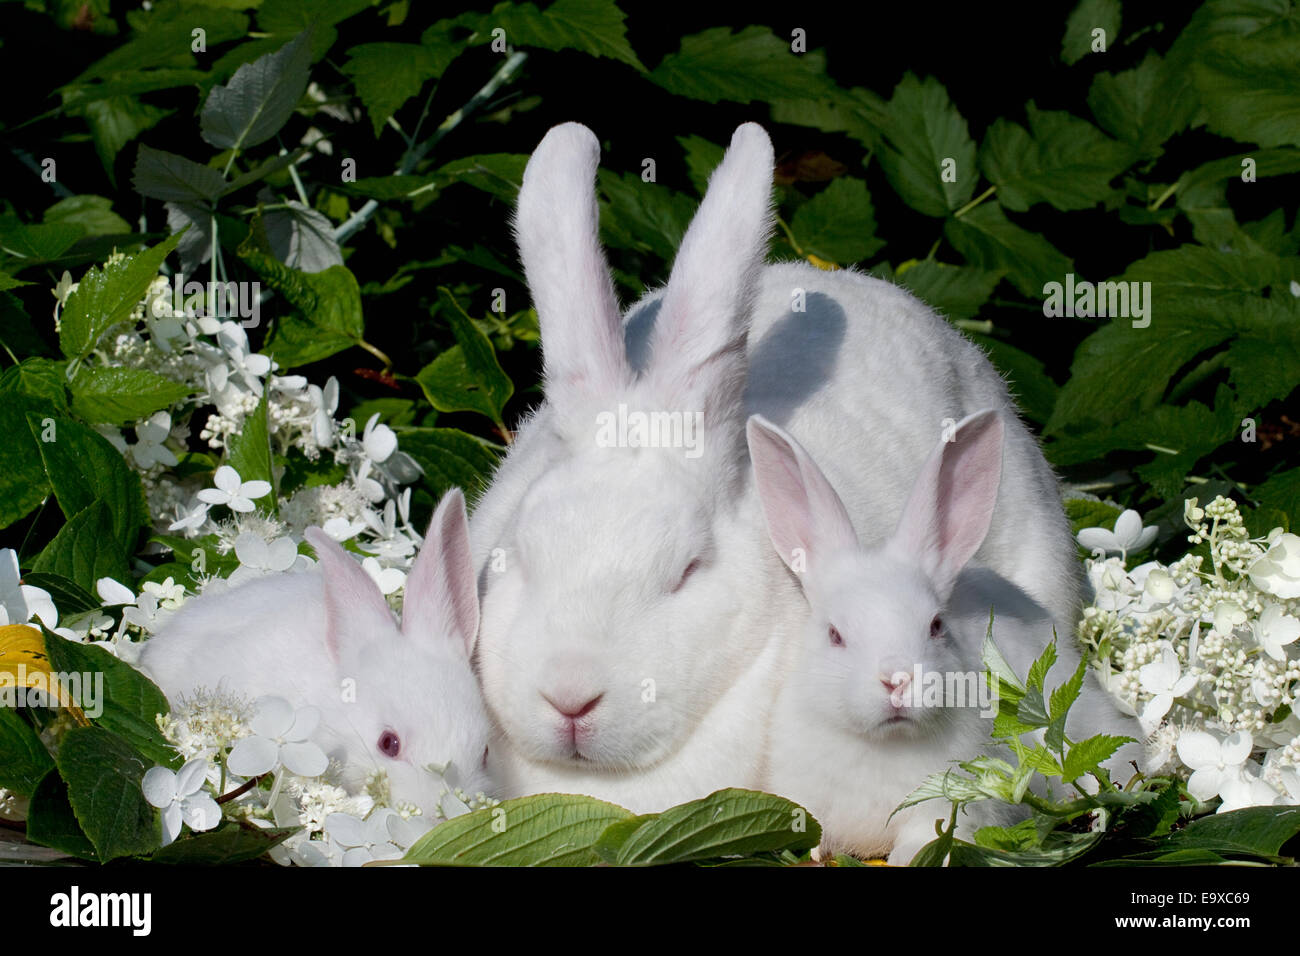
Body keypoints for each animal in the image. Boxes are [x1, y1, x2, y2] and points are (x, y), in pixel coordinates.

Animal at [748, 411, 1144, 868]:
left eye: (936, 625)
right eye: (835, 635)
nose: (898, 680)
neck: (883, 744)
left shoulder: (942, 809)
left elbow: (920, 846)